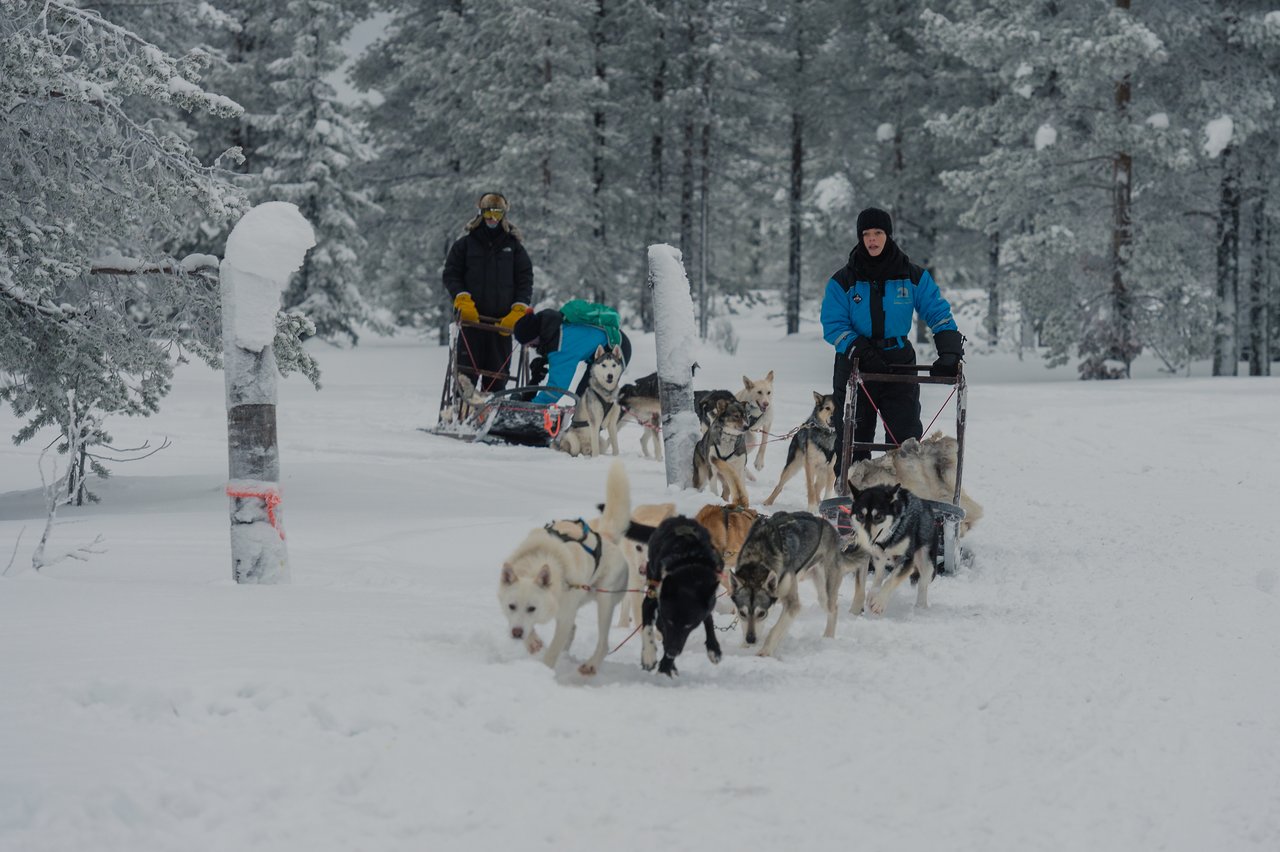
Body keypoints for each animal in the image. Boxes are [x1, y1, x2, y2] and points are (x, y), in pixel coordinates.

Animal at [632, 514, 727, 675]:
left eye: (689, 625)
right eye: (670, 621)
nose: (672, 652)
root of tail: (680, 518)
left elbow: (707, 619)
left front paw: (665, 667)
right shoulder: (652, 600)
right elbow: (648, 628)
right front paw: (649, 656)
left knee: (708, 618)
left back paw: (713, 649)